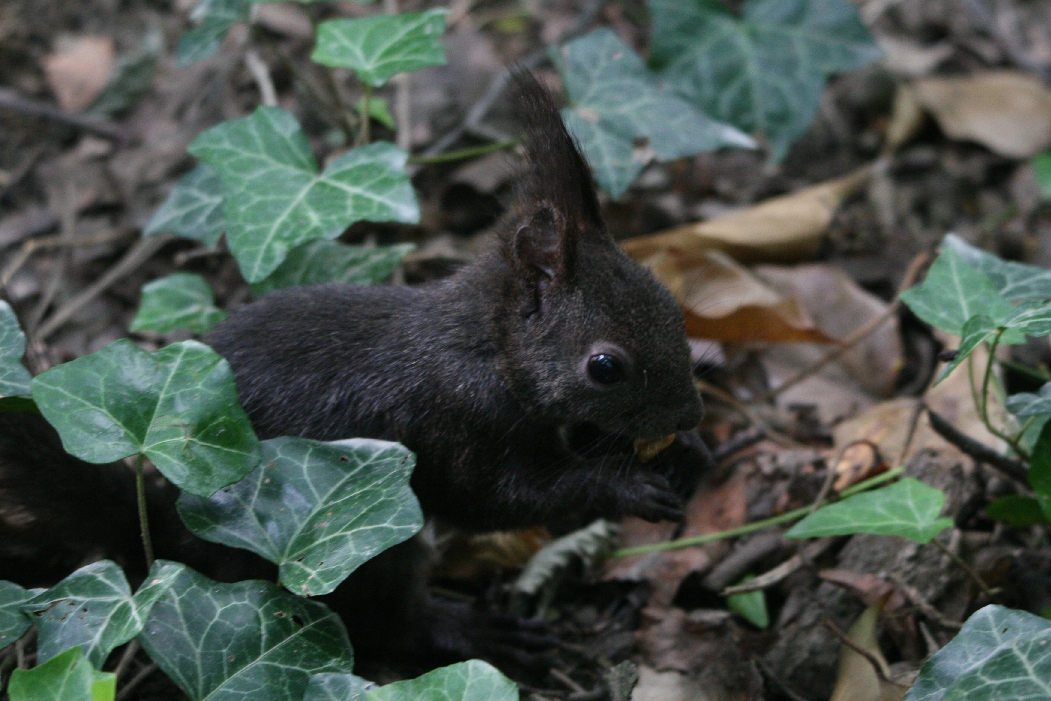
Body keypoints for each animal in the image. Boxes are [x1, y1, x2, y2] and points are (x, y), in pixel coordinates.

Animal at [0, 72, 710, 677]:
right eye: (605, 367)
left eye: (670, 303)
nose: (691, 413)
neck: (489, 347)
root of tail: (163, 545)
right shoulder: (457, 418)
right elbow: (502, 498)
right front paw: (624, 484)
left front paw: (688, 454)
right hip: (366, 561)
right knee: (390, 620)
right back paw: (472, 631)